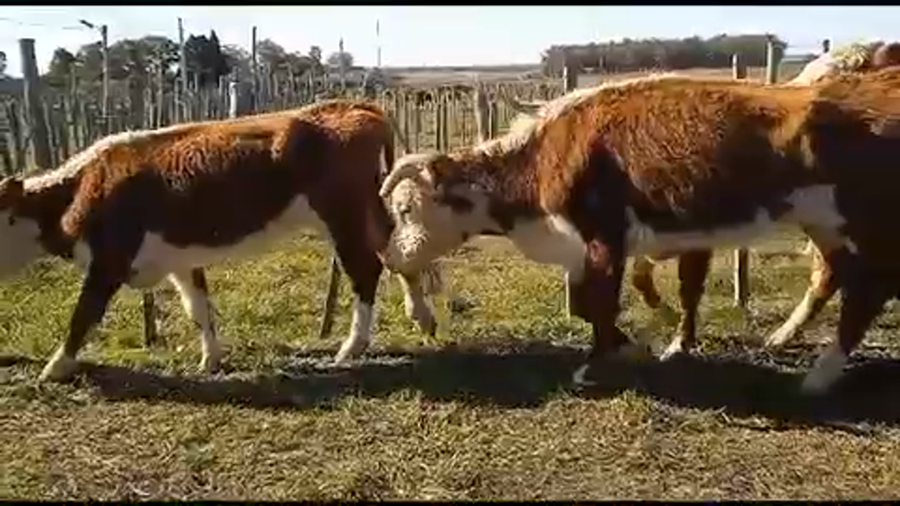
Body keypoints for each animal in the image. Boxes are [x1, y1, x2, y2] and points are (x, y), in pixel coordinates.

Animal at [0, 99, 439, 383]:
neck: (84, 188)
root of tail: (355, 105)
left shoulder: (109, 260)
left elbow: (83, 314)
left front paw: (55, 367)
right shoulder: (179, 260)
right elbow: (198, 307)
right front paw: (210, 358)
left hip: (342, 217)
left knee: (366, 270)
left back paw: (352, 346)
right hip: (367, 210)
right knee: (396, 252)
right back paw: (421, 315)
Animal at [376, 68, 900, 395]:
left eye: (405, 209)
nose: (388, 256)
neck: (553, 152)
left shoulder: (604, 238)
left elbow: (599, 303)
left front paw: (603, 360)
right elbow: (614, 302)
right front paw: (647, 346)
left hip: (864, 224)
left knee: (870, 288)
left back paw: (821, 374)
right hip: (825, 224)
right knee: (839, 278)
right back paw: (789, 342)